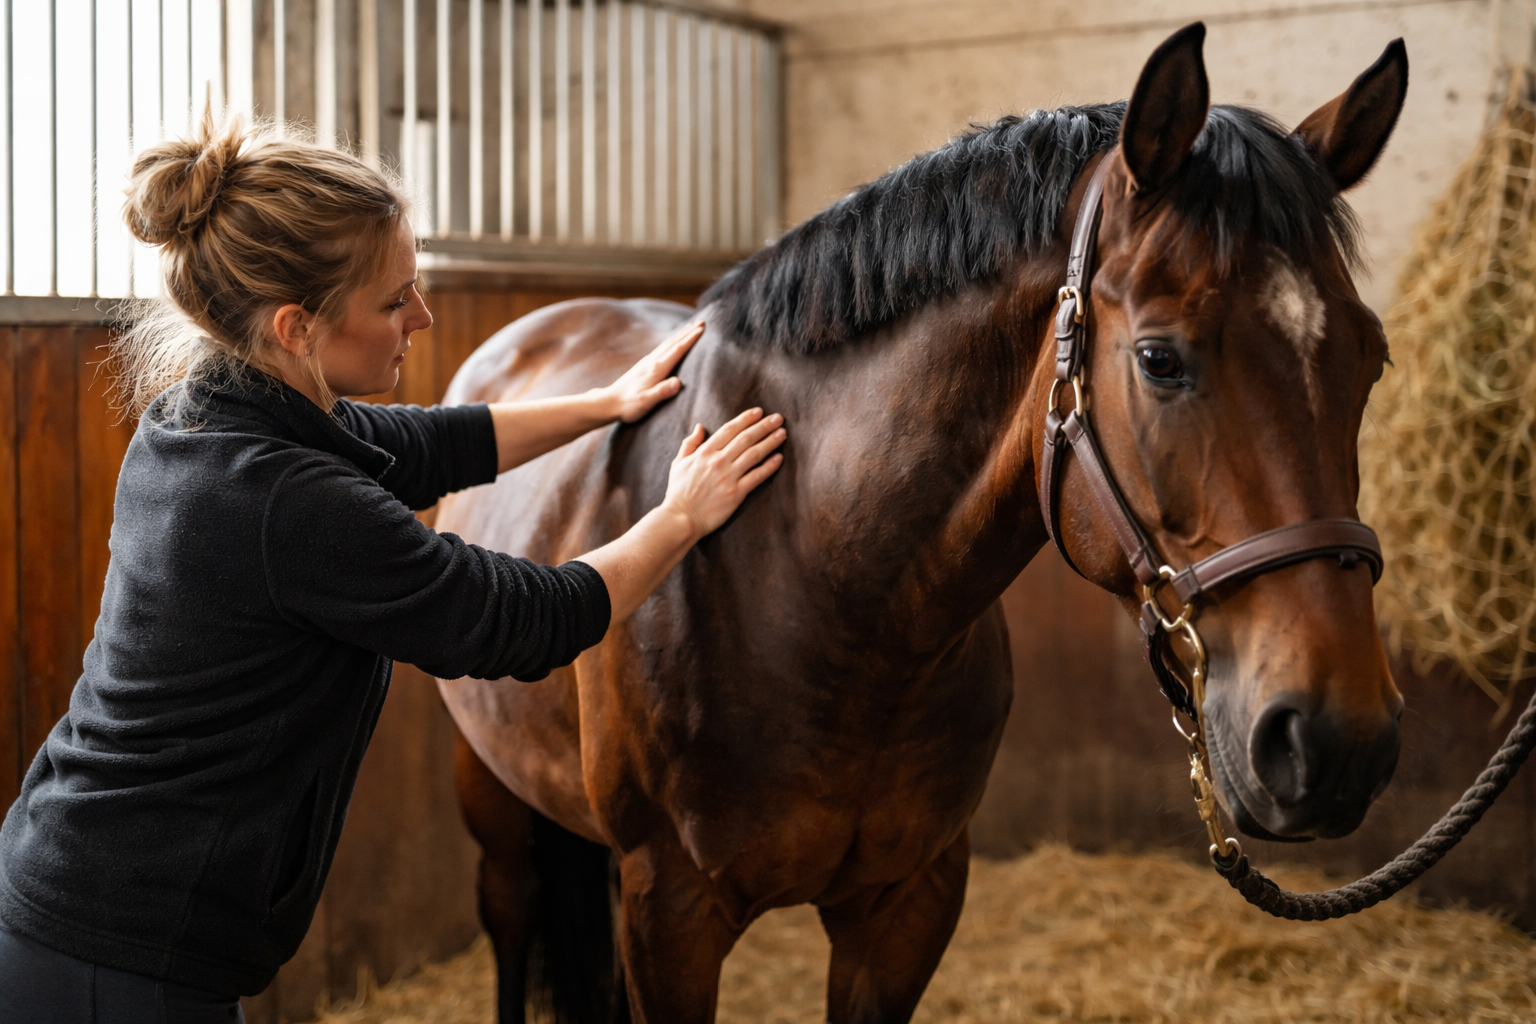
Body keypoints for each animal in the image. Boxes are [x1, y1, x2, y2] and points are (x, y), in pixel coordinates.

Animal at [435, 23, 1408, 1023]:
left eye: (1370, 360)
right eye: (1158, 359)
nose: (1336, 741)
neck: (822, 587)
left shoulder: (908, 903)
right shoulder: (671, 915)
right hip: (490, 792)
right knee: (511, 913)